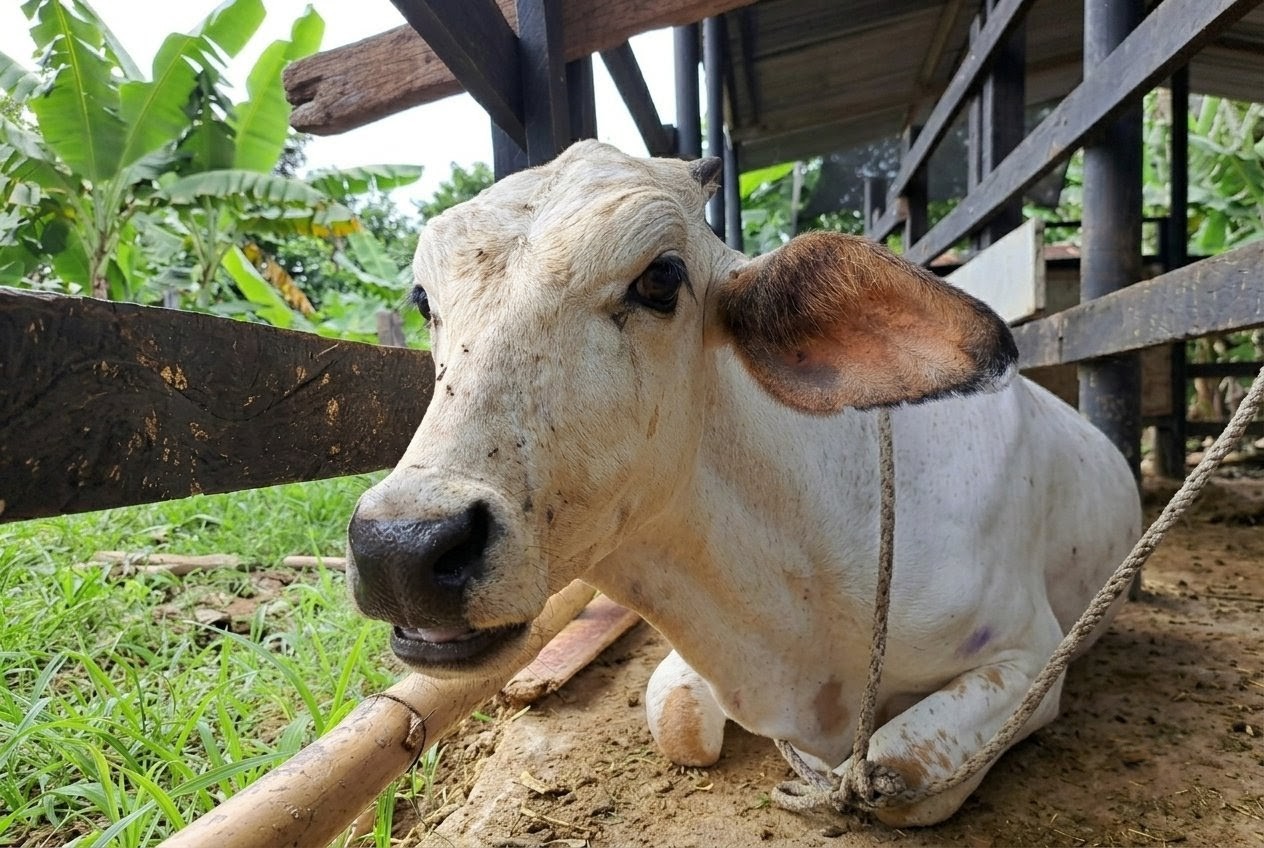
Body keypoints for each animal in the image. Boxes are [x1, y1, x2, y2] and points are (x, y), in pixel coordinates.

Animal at [345, 140, 1142, 826]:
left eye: (661, 276)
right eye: (424, 300)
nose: (402, 548)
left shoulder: (1029, 658)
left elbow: (900, 768)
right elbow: (676, 721)